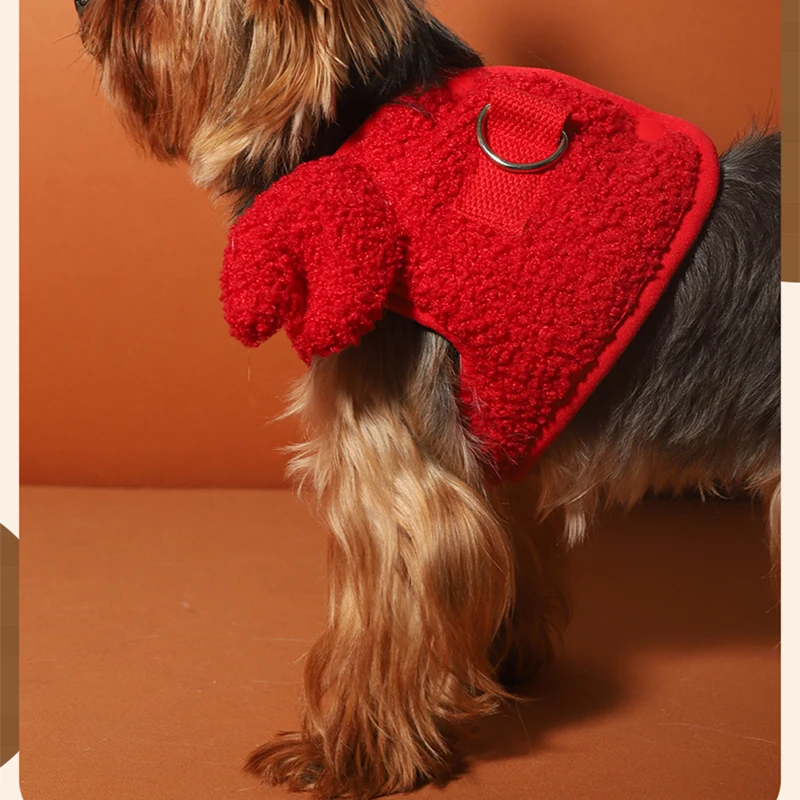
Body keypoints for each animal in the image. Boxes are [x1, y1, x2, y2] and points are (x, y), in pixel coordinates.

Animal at [76, 1, 781, 798]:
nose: (80, 10)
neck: (351, 121)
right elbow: (505, 548)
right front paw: (496, 663)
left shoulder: (388, 450)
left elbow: (385, 603)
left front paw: (346, 754)